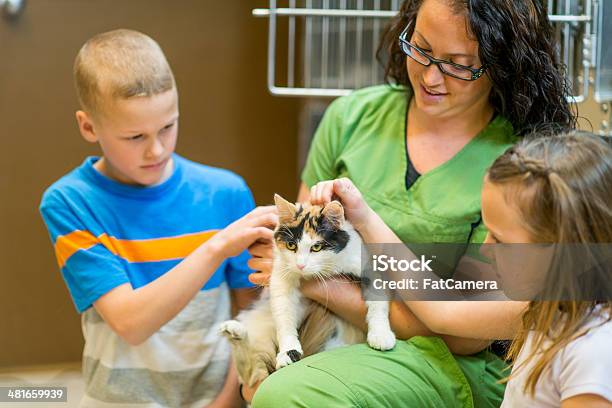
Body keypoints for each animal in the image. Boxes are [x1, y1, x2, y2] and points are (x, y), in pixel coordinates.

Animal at [220, 194, 396, 386]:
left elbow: (378, 305)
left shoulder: (368, 266)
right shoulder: (282, 277)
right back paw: (235, 332)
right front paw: (288, 351)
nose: (300, 265)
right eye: (291, 246)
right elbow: (284, 317)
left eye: (316, 247)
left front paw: (381, 334)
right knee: (254, 374)